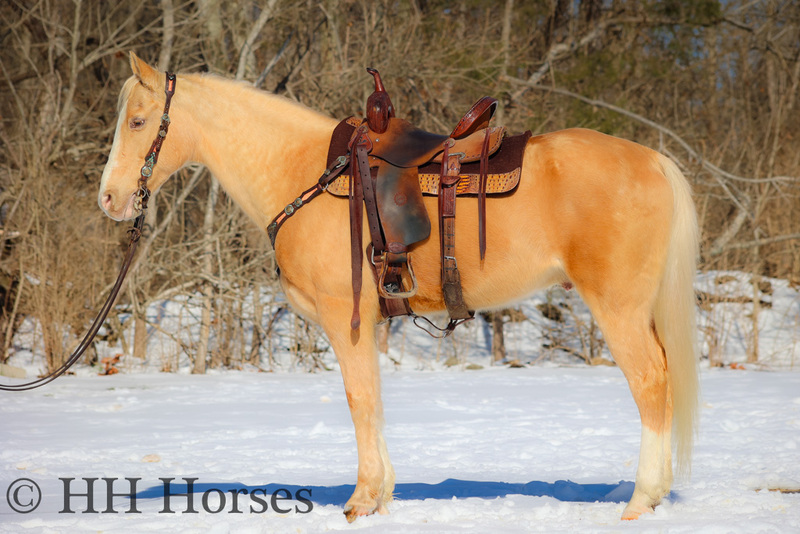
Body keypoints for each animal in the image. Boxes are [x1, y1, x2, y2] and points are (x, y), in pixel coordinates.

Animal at [100, 54, 700, 524]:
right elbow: (374, 400)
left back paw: (641, 500)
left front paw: (363, 500)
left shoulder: (345, 318)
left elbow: (360, 399)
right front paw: (382, 494)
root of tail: (654, 160)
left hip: (618, 308)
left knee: (650, 382)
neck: (303, 172)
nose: (110, 199)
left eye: (138, 121)